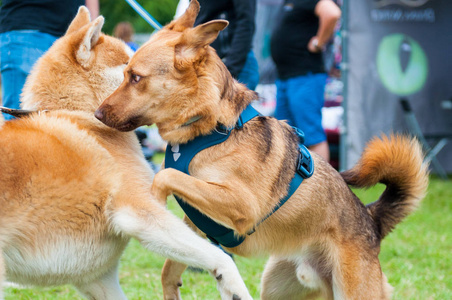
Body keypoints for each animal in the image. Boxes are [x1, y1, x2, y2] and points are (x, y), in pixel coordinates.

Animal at [0, 6, 251, 300]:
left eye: (135, 75)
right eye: (128, 70)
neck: (79, 115)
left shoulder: (98, 279)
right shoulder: (139, 213)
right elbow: (219, 257)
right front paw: (234, 286)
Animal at [94, 1, 428, 298]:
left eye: (136, 77)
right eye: (125, 74)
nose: (96, 114)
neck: (212, 129)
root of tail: (371, 220)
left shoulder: (242, 205)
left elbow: (165, 177)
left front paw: (153, 201)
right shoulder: (198, 221)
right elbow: (172, 264)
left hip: (353, 290)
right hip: (277, 287)